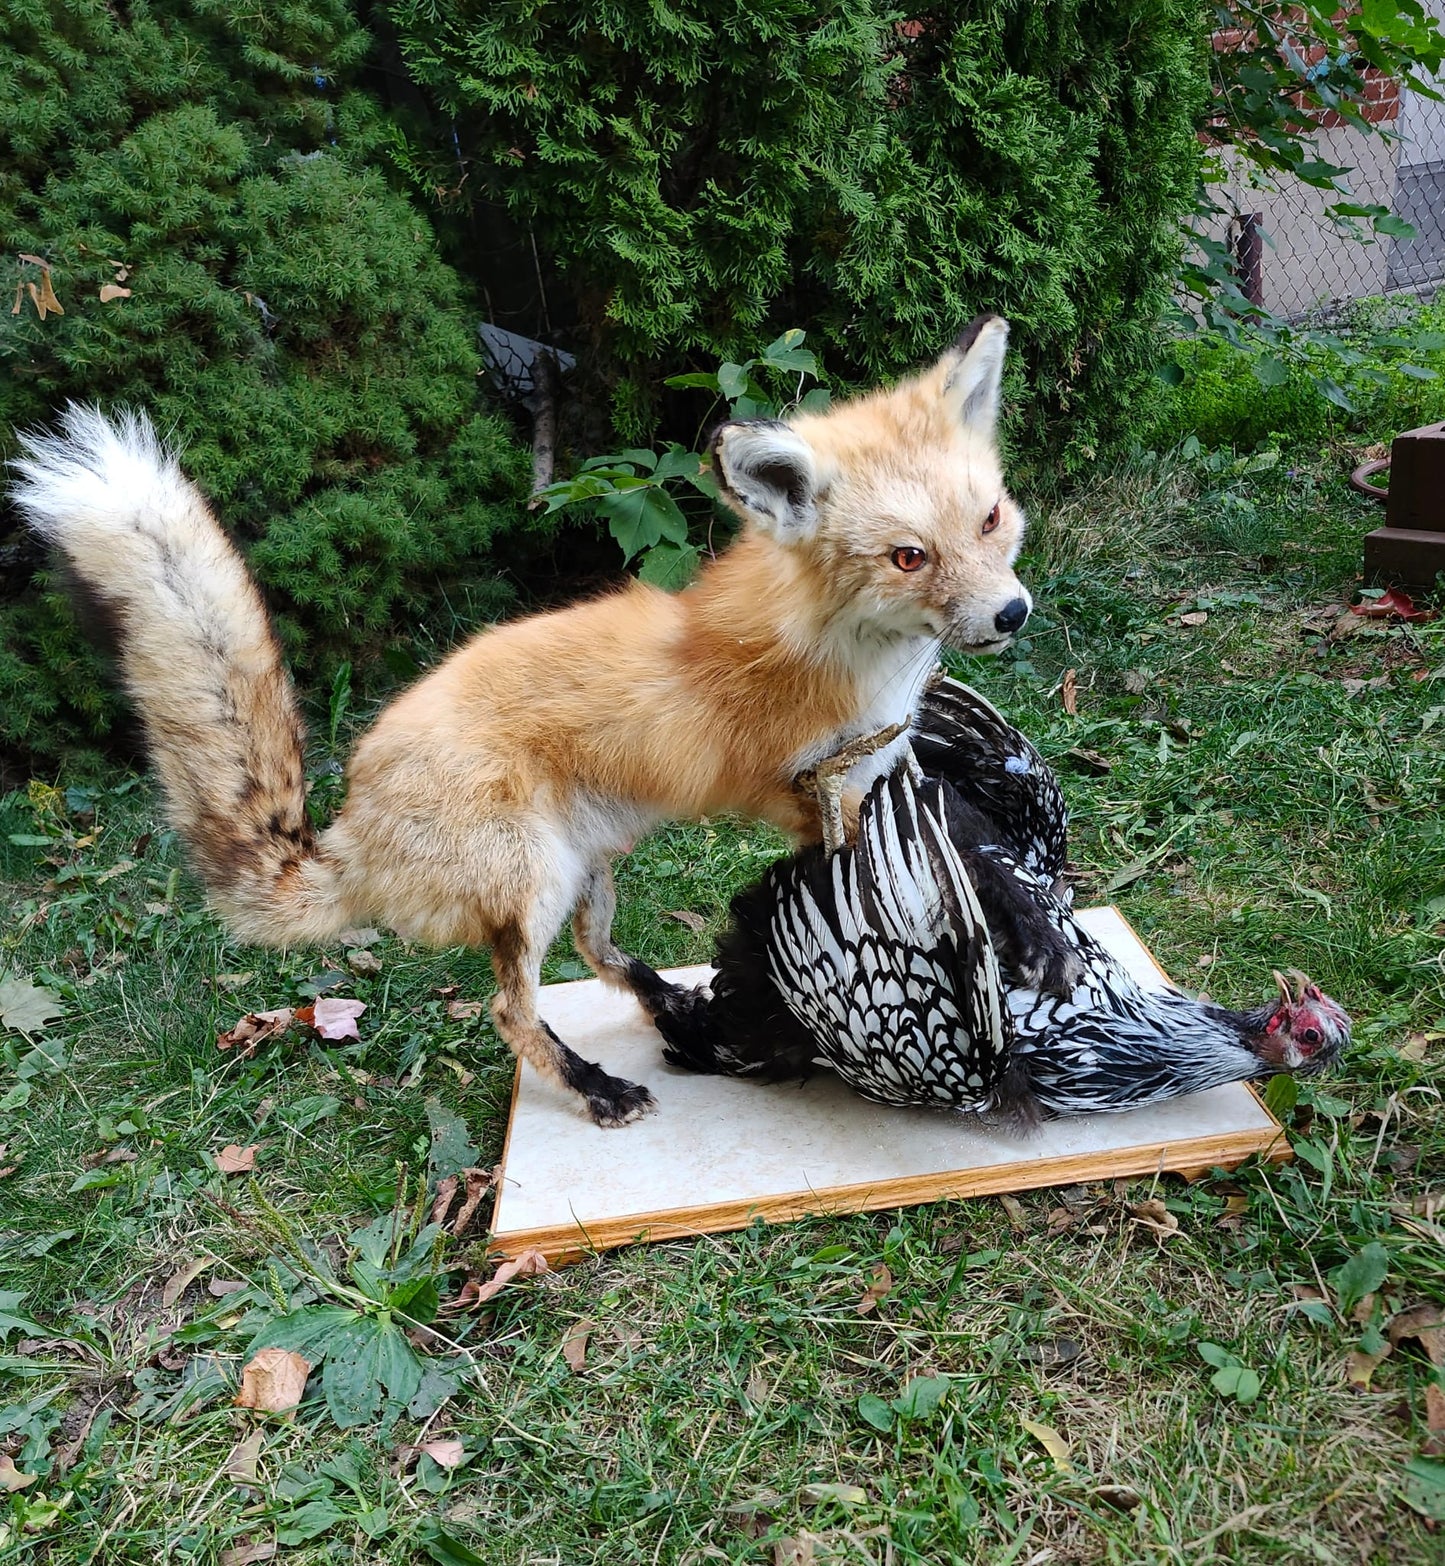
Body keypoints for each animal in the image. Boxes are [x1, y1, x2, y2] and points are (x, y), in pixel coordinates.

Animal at [9, 314, 1033, 1128]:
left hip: (591, 865)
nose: (1011, 614)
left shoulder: (876, 762)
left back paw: (667, 1005)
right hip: (530, 881)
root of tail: (347, 834)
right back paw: (593, 1089)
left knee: (596, 952)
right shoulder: (812, 795)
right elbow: (876, 868)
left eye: (989, 521)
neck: (849, 653)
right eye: (908, 557)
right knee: (512, 1011)